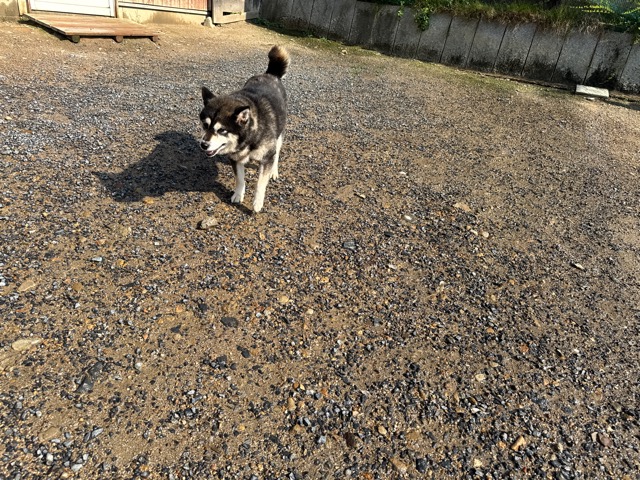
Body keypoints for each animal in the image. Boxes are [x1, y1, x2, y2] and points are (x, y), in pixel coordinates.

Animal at [199, 45, 289, 213]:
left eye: (222, 130)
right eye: (205, 125)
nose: (204, 144)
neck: (249, 137)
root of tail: (270, 74)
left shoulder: (267, 157)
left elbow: (261, 183)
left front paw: (257, 202)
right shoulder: (235, 158)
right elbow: (240, 179)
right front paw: (238, 194)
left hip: (279, 135)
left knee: (277, 153)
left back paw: (274, 171)